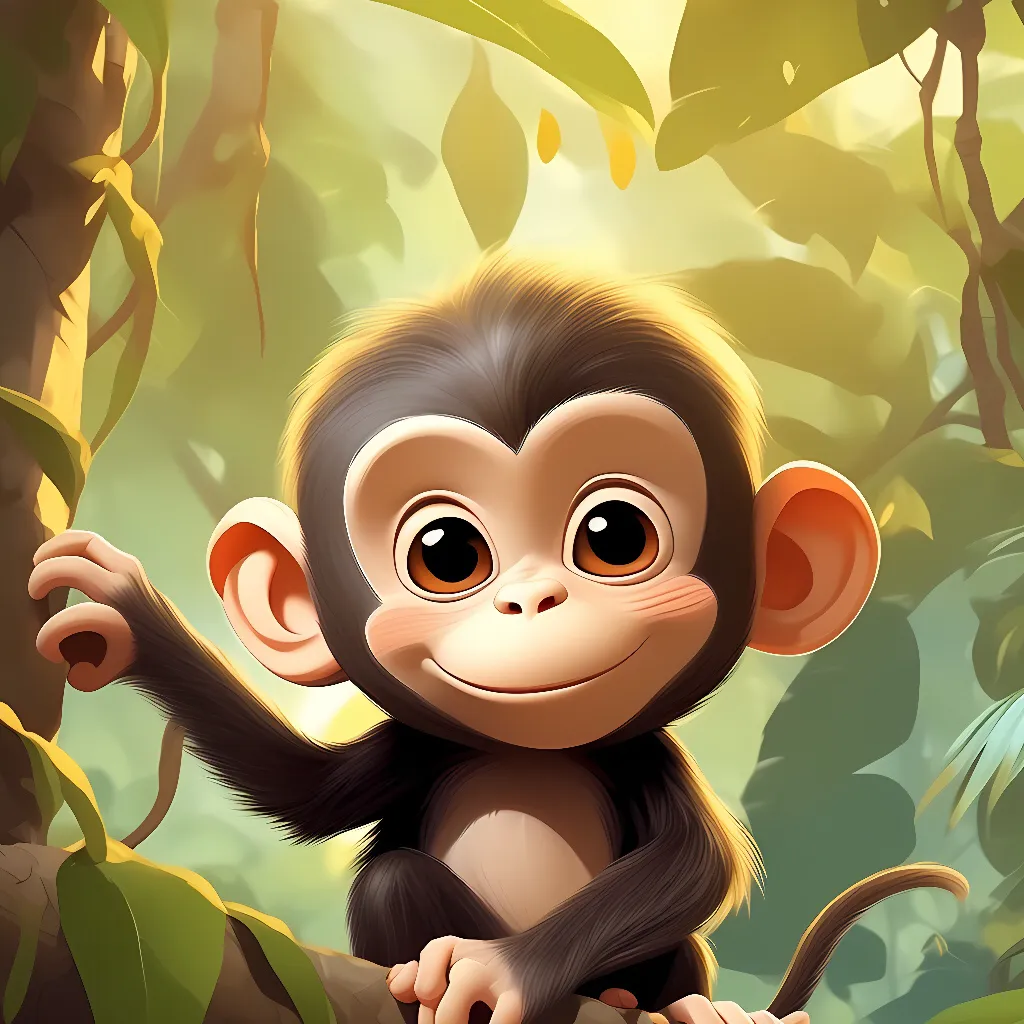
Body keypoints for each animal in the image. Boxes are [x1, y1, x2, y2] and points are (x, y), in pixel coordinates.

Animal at [28, 256, 967, 1024]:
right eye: (446, 554)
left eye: (616, 536)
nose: (531, 599)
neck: (530, 754)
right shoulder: (417, 745)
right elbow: (303, 791)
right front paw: (128, 621)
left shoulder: (641, 752)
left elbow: (696, 863)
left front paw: (500, 973)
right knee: (392, 879)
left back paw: (672, 1004)